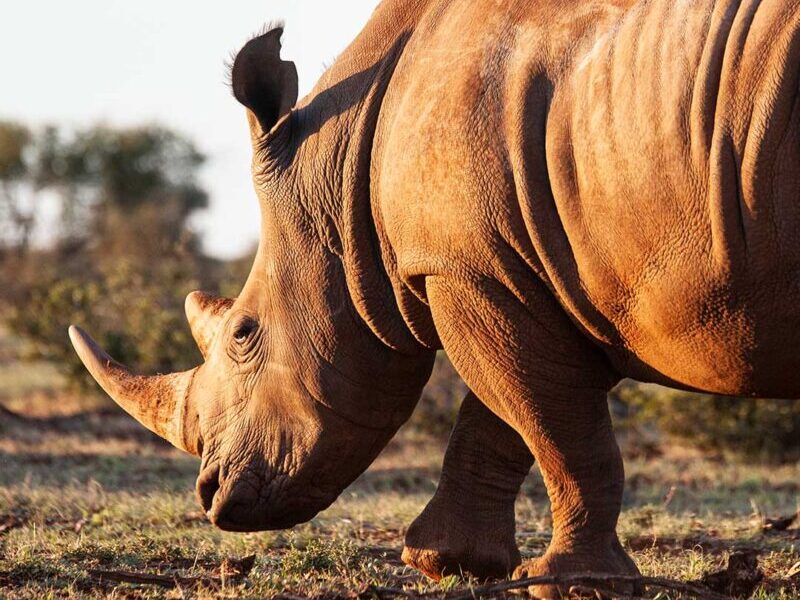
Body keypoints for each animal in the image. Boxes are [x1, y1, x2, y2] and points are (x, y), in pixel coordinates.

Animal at [69, 0, 800, 596]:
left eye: (244, 334)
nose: (211, 495)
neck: (342, 170)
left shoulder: (473, 269)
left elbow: (556, 427)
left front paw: (574, 585)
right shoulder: (515, 273)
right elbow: (511, 416)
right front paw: (446, 562)